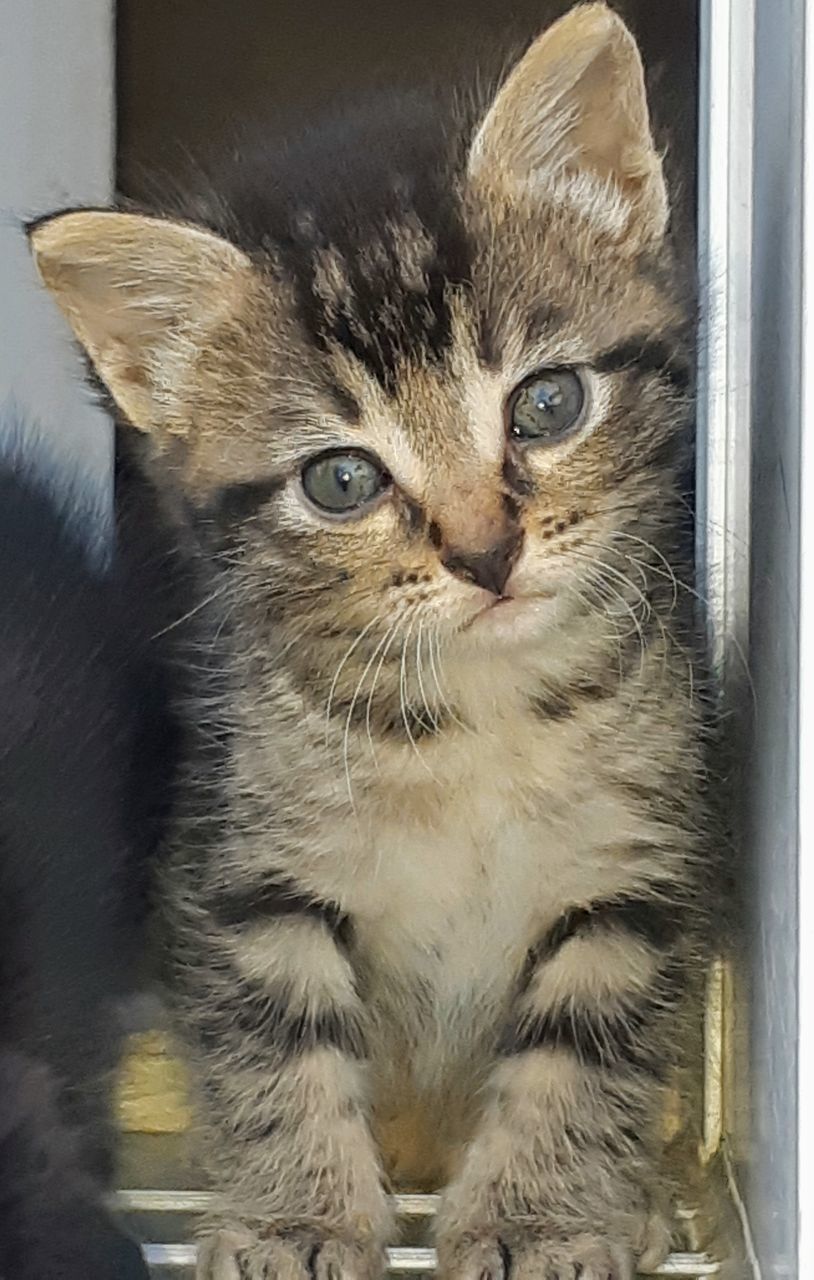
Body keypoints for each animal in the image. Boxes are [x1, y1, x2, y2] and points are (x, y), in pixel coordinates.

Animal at [31, 5, 711, 1274]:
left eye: (546, 403)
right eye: (341, 479)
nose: (486, 554)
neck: (478, 721)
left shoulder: (633, 871)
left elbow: (580, 1051)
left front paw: (539, 1216)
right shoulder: (245, 875)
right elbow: (275, 1047)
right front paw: (296, 1215)